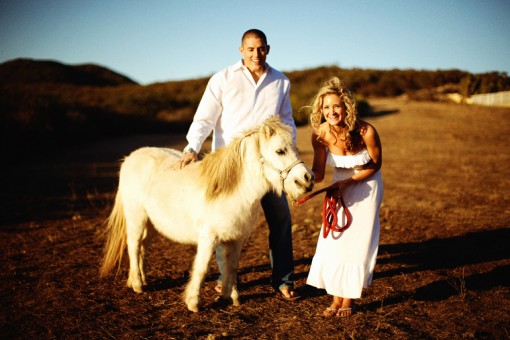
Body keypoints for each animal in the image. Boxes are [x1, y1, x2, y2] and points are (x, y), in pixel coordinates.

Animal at [99, 116, 312, 310]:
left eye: (295, 149)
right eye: (280, 151)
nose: (307, 179)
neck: (231, 192)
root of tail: (130, 158)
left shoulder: (236, 240)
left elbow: (231, 267)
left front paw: (231, 296)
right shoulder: (208, 238)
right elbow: (201, 268)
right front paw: (194, 302)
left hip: (152, 225)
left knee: (142, 248)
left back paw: (141, 280)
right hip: (137, 218)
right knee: (133, 246)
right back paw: (137, 284)